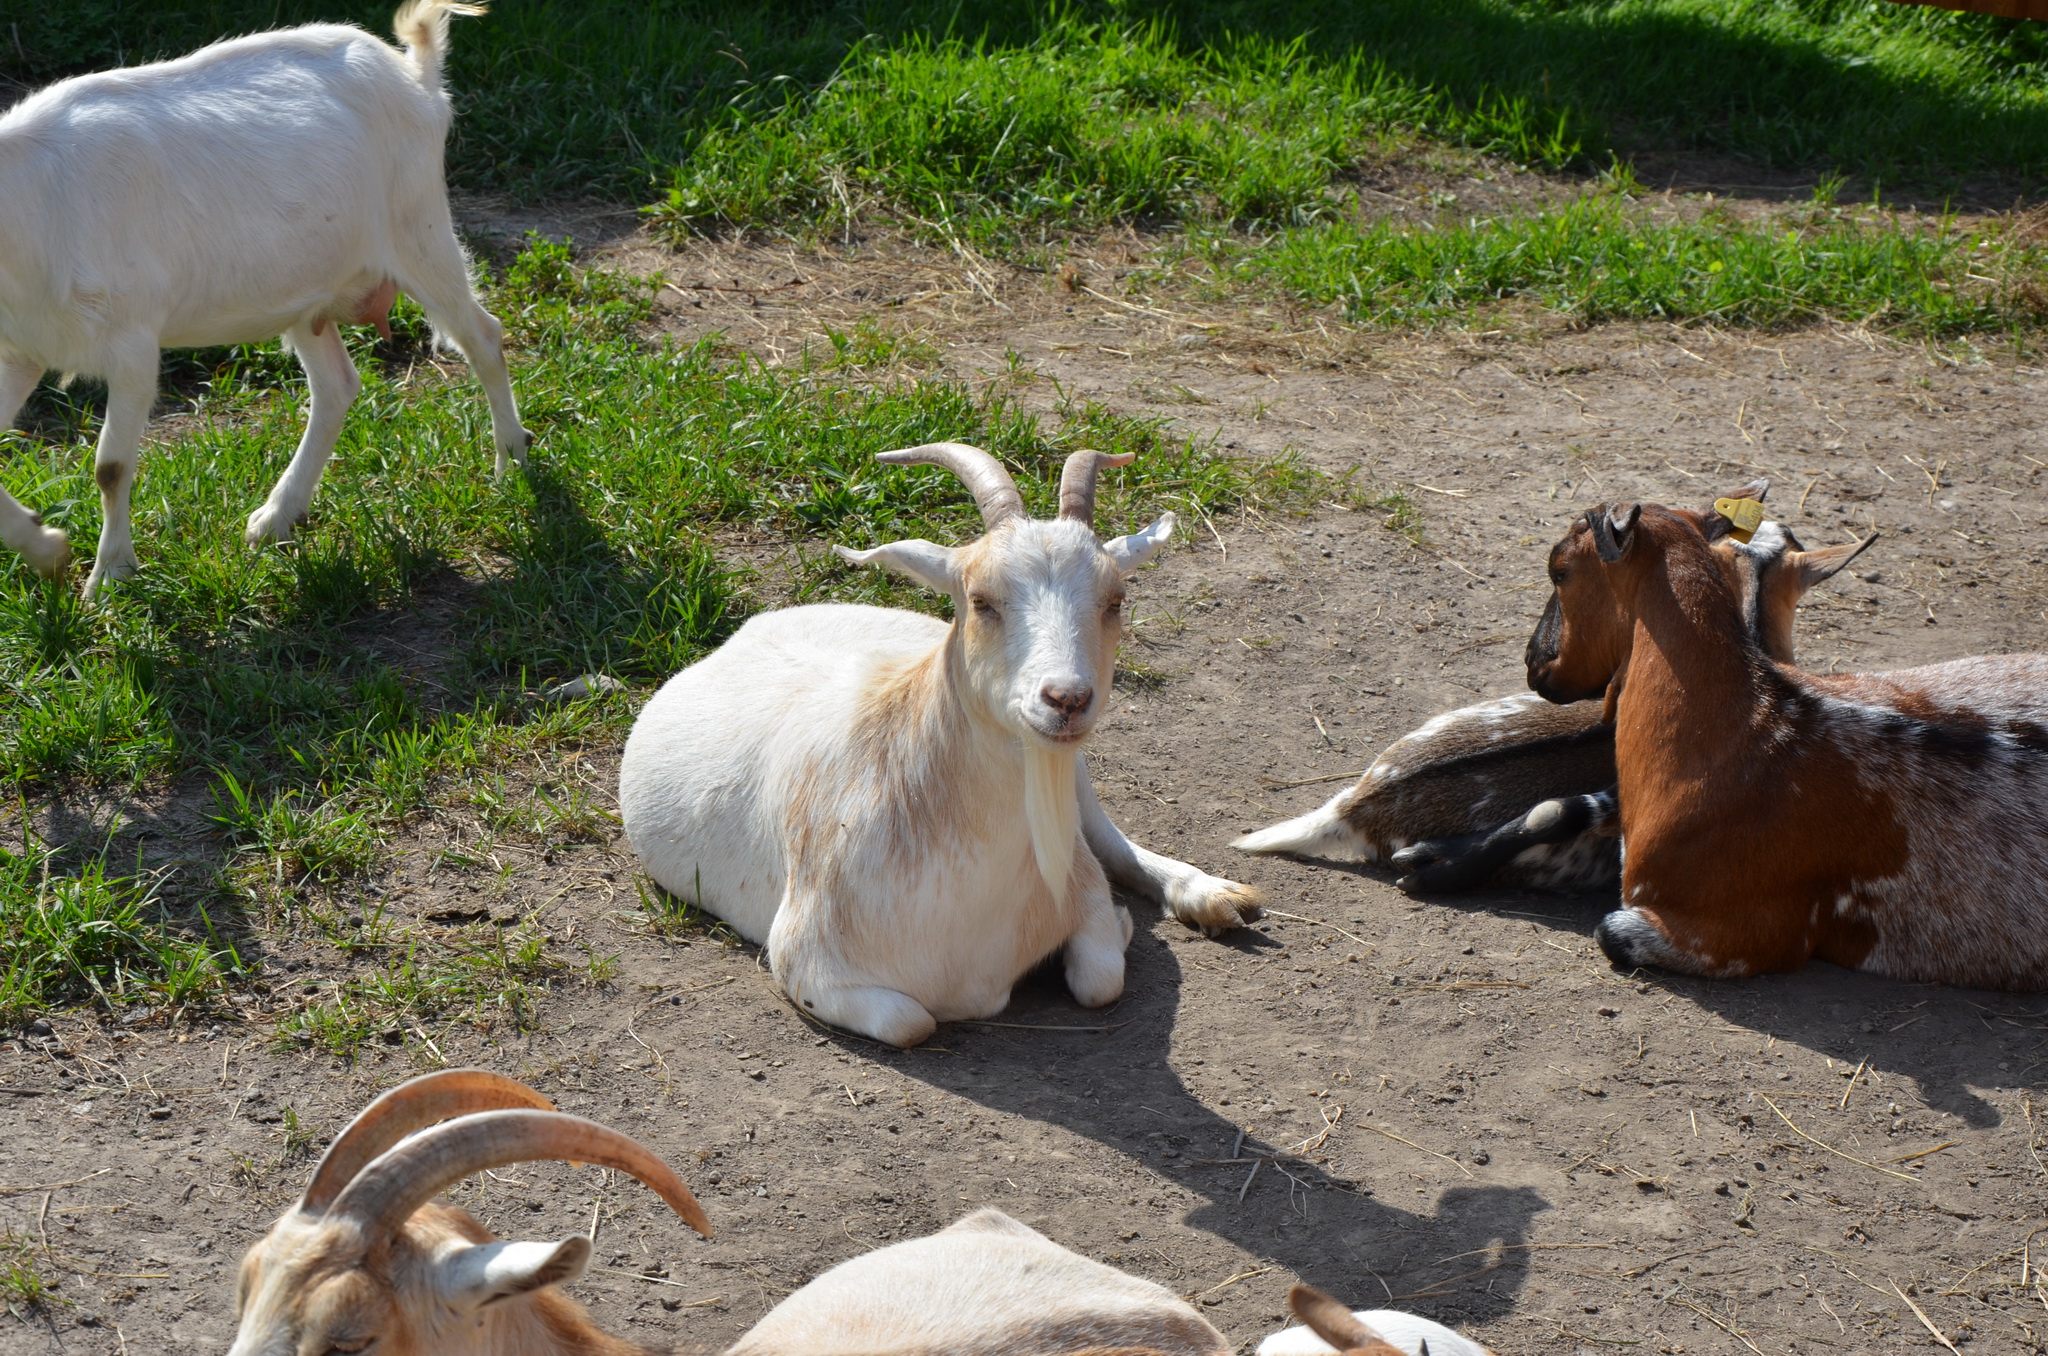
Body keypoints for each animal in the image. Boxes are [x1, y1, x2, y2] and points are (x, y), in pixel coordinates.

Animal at [0, 0, 536, 598]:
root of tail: (414, 77)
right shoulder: (20, 349)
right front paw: (47, 550)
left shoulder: (132, 343)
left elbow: (110, 467)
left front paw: (109, 577)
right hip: (306, 288)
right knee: (337, 385)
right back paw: (278, 516)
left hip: (417, 230)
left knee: (482, 335)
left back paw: (511, 461)